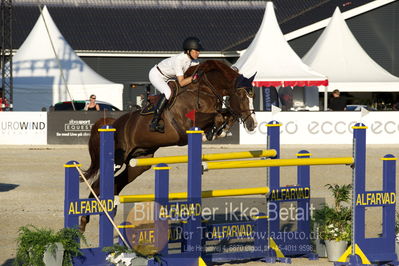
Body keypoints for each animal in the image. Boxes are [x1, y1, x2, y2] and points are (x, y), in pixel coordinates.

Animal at [79, 59, 258, 232]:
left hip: (139, 163)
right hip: (117, 160)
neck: (204, 89)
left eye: (253, 97)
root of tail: (114, 123)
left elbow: (225, 114)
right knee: (96, 185)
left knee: (116, 184)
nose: (253, 124)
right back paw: (83, 221)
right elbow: (217, 115)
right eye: (241, 95)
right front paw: (217, 129)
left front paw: (220, 130)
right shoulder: (188, 123)